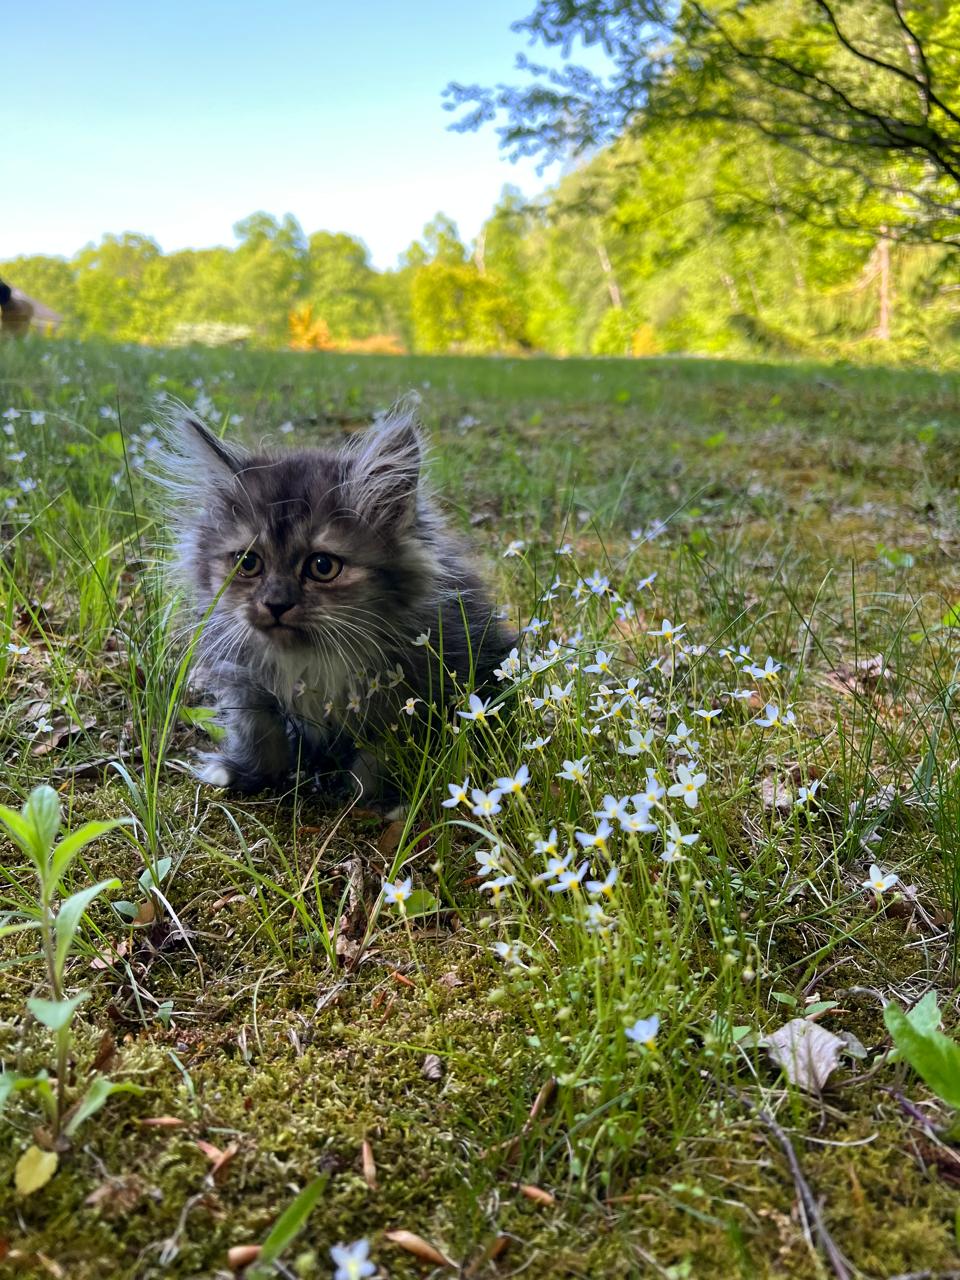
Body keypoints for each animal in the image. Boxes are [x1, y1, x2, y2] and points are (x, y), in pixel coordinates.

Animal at [158, 404, 514, 793]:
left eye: (323, 566)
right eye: (248, 563)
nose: (276, 604)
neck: (309, 659)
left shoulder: (402, 693)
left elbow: (379, 754)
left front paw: (365, 794)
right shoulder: (245, 682)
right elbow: (260, 736)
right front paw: (242, 774)